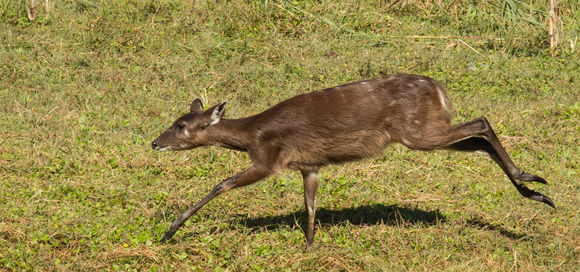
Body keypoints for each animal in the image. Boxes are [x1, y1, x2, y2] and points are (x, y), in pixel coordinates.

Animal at [152, 73, 556, 245]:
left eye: (182, 126)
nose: (156, 142)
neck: (252, 133)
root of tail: (440, 91)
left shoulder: (270, 159)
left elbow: (221, 183)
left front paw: (171, 230)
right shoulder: (309, 165)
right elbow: (310, 206)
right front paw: (309, 247)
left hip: (418, 132)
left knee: (481, 122)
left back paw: (533, 182)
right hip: (425, 131)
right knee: (478, 139)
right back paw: (537, 191)